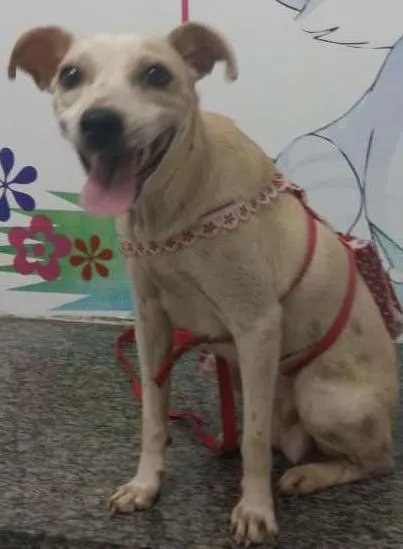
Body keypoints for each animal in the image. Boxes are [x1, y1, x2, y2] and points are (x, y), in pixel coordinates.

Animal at [8, 22, 399, 546]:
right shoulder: (151, 323)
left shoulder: (256, 326)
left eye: (157, 73)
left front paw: (255, 509)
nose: (100, 122)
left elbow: (253, 439)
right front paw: (145, 485)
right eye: (70, 74)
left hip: (324, 399)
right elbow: (153, 417)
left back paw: (309, 474)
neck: (170, 213)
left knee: (378, 459)